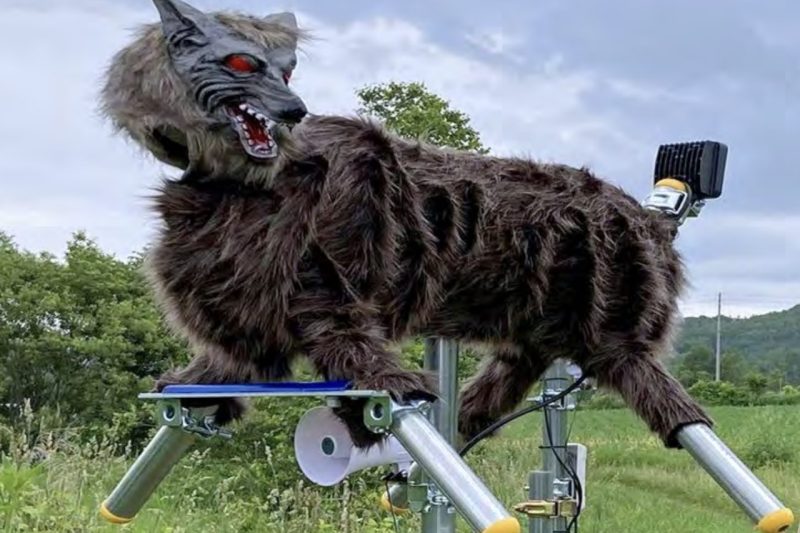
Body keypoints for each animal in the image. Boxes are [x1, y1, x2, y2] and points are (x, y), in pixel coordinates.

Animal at [100, 0, 712, 449]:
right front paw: (194, 382)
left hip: (616, 330)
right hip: (536, 325)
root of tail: (648, 218)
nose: (295, 109)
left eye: (289, 68)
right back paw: (468, 415)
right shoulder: (250, 309)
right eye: (242, 63)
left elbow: (351, 347)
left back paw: (678, 418)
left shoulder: (327, 290)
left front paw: (383, 395)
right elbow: (231, 360)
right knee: (512, 369)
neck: (233, 188)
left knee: (662, 392)